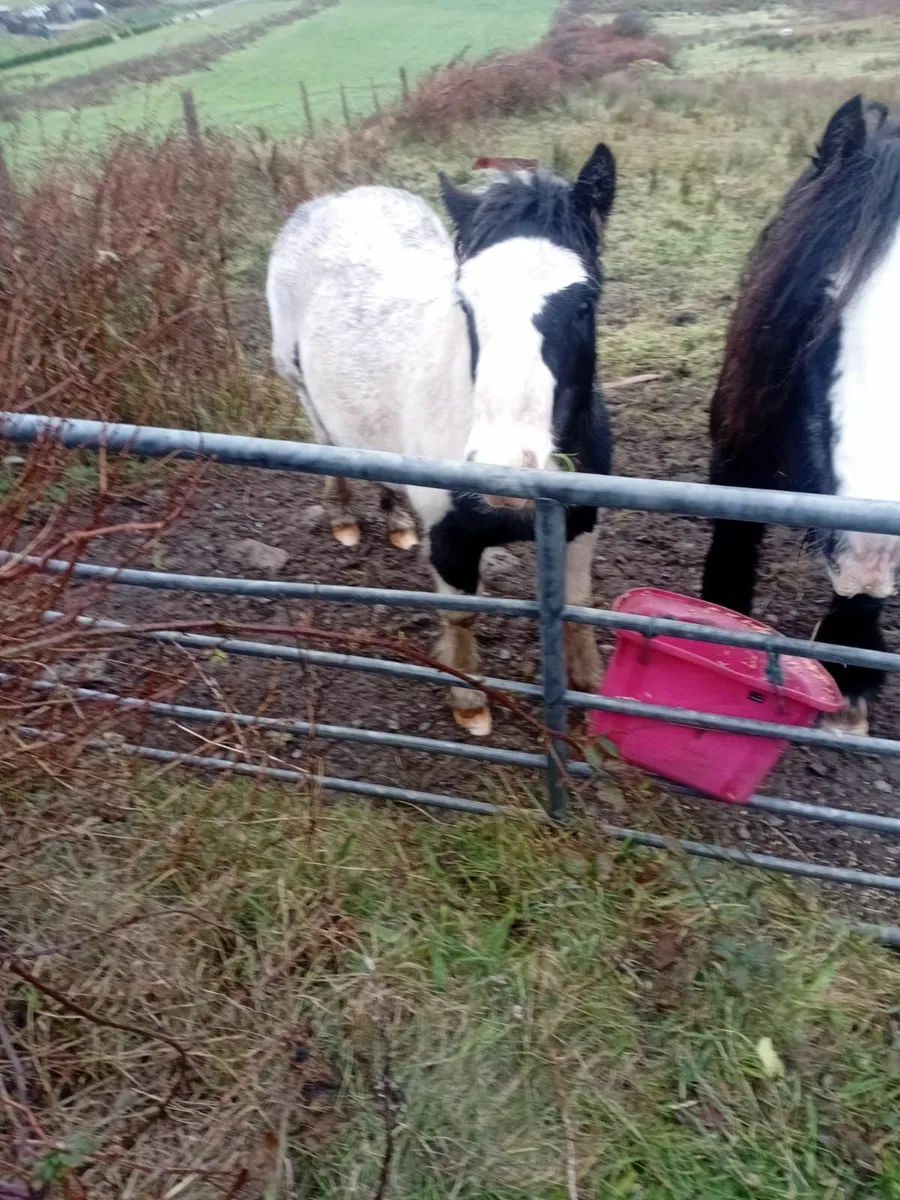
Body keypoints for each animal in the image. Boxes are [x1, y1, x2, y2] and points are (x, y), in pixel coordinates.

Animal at [266, 145, 616, 737]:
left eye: (586, 300)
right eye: (467, 303)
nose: (504, 465)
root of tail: (333, 200)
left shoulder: (579, 523)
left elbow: (578, 603)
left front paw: (589, 688)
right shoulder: (452, 542)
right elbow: (462, 615)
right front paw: (469, 703)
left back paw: (396, 523)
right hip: (303, 390)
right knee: (331, 446)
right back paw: (343, 518)